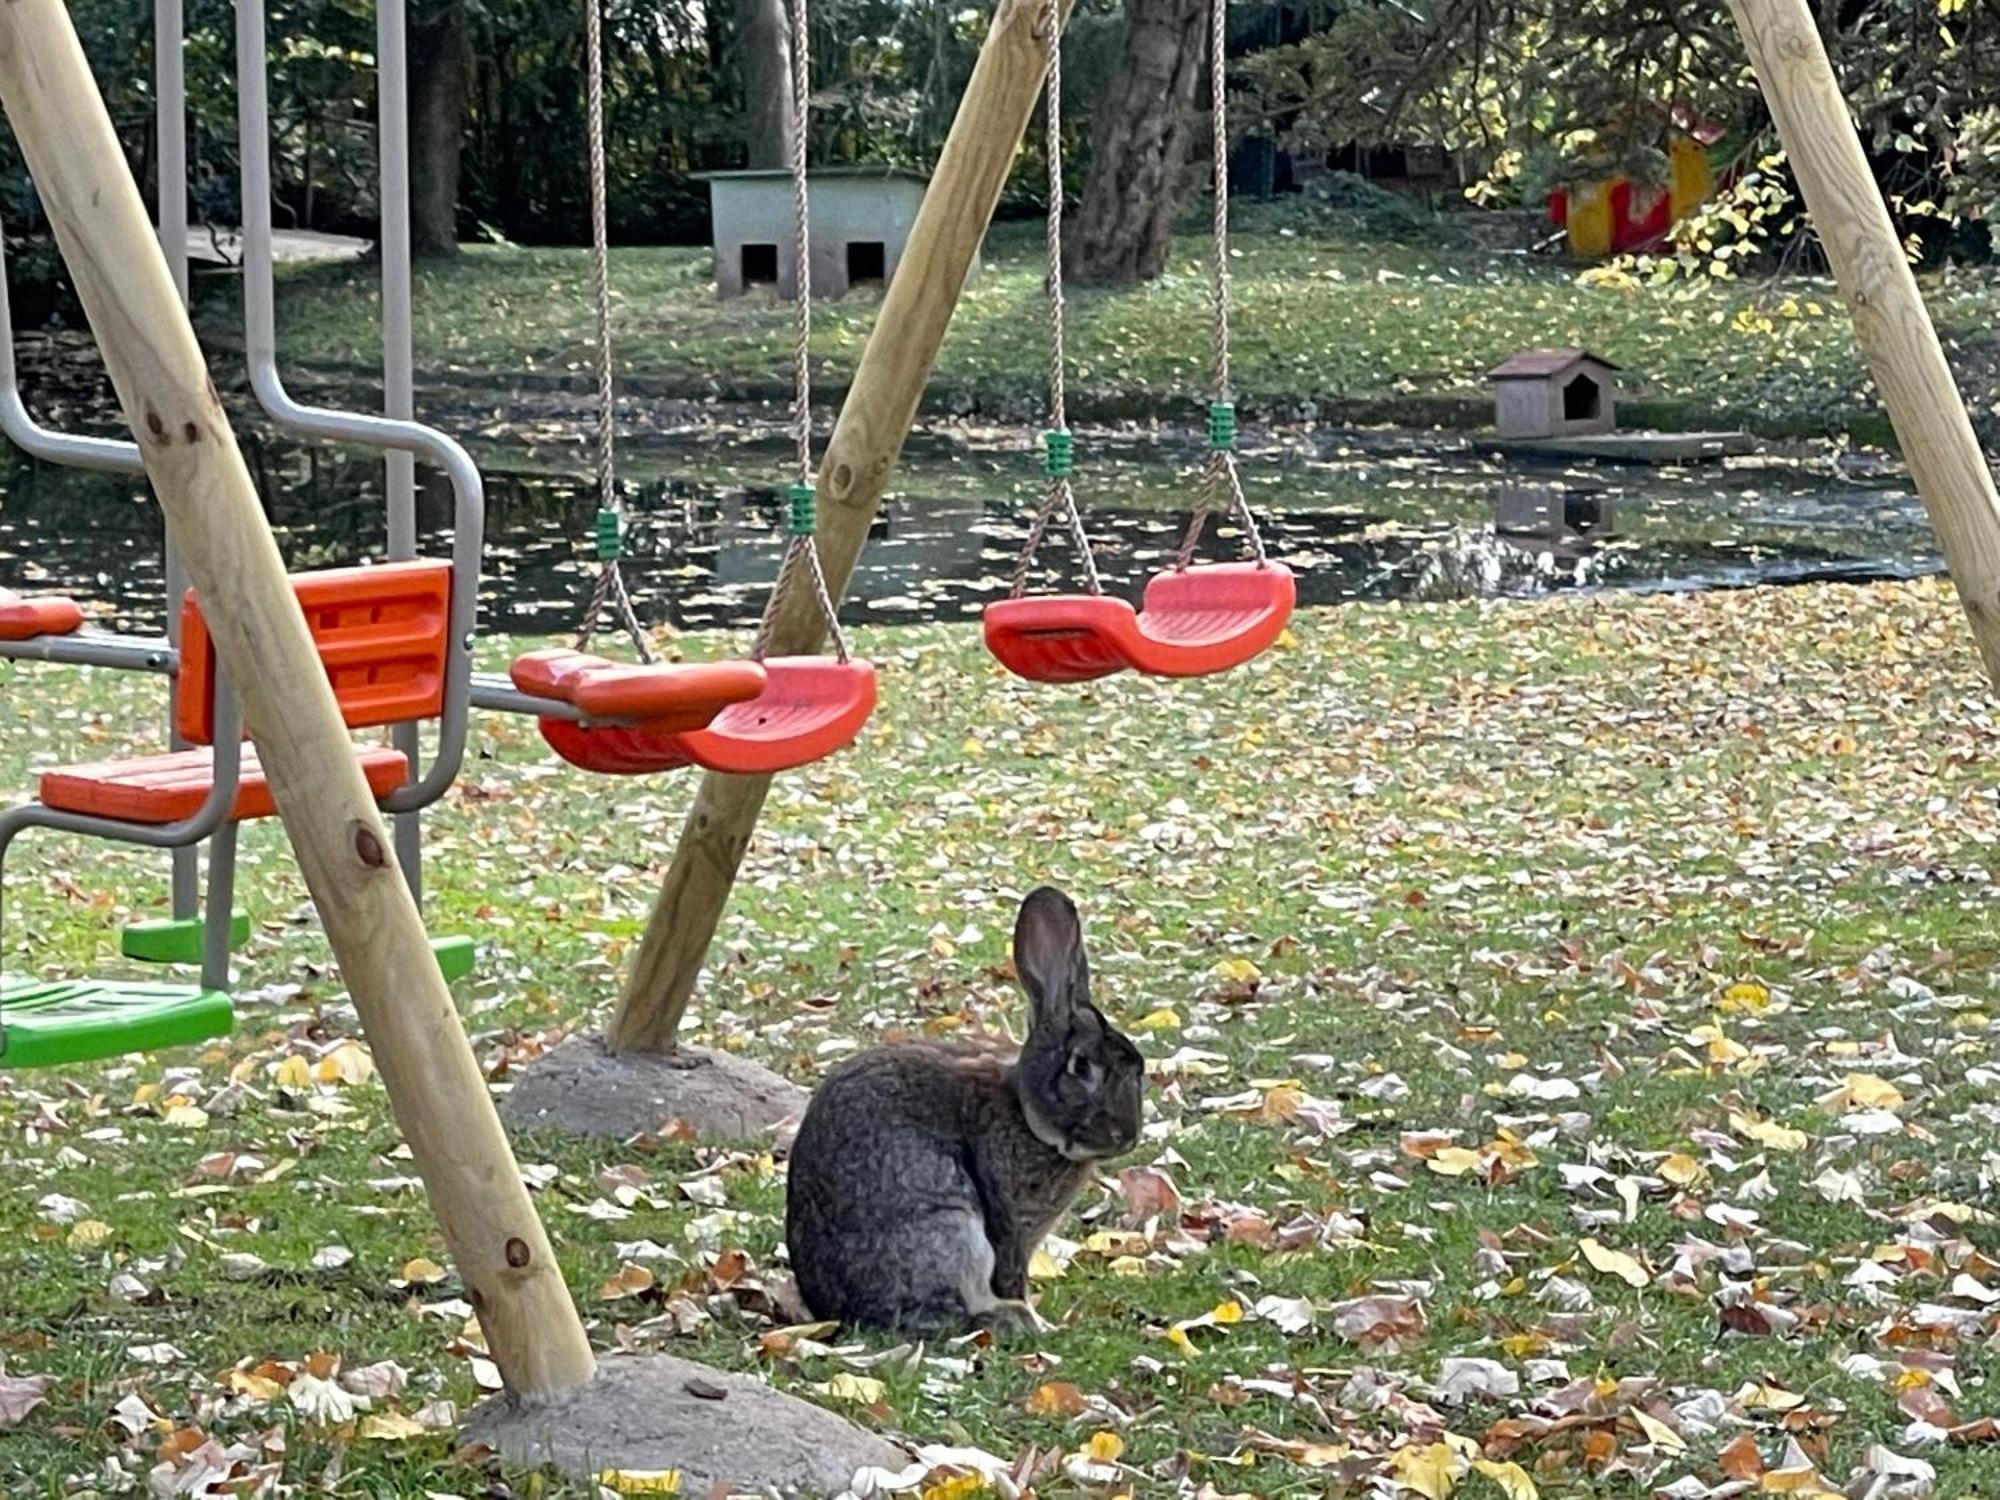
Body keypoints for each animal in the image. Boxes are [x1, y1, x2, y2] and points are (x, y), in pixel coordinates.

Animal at [788, 888, 1152, 1336]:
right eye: (1081, 1067)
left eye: (1138, 1067)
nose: (1127, 1136)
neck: (1025, 1114)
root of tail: (832, 1309)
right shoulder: (1009, 1226)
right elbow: (1013, 1274)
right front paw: (1041, 1324)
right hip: (950, 1229)